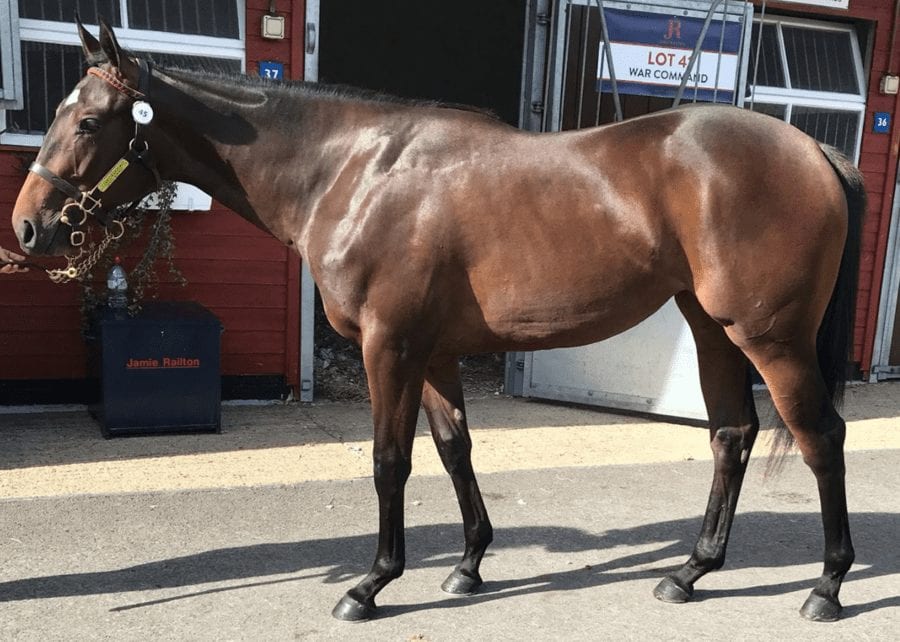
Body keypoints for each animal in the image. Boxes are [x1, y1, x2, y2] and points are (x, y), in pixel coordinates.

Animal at [8, 21, 864, 620]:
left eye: (88, 124)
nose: (28, 228)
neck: (352, 171)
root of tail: (814, 150)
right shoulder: (435, 353)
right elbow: (455, 452)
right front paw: (467, 565)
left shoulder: (391, 346)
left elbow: (390, 461)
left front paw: (371, 585)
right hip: (713, 326)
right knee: (731, 434)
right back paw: (690, 572)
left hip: (770, 337)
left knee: (820, 437)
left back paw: (826, 586)